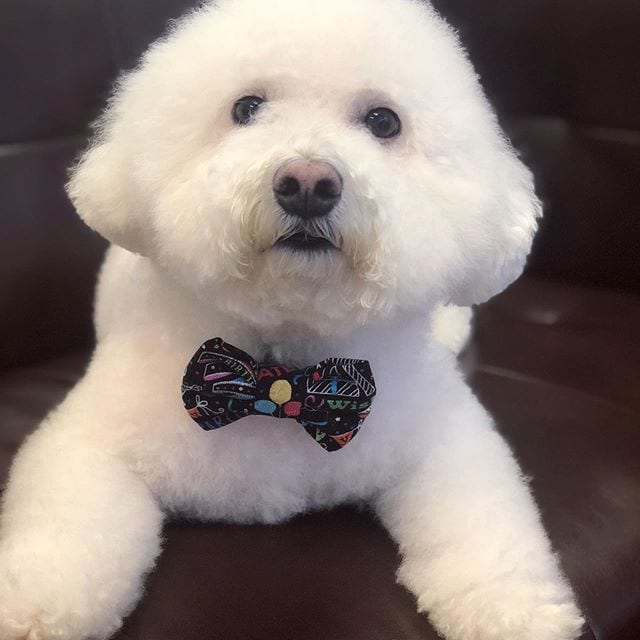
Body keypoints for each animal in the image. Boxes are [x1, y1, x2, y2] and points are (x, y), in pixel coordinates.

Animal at [0, 0, 584, 636]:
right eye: (246, 108)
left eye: (384, 121)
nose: (307, 182)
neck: (284, 367)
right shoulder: (90, 442)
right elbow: (70, 530)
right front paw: (36, 604)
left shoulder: (446, 438)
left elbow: (484, 526)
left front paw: (516, 611)